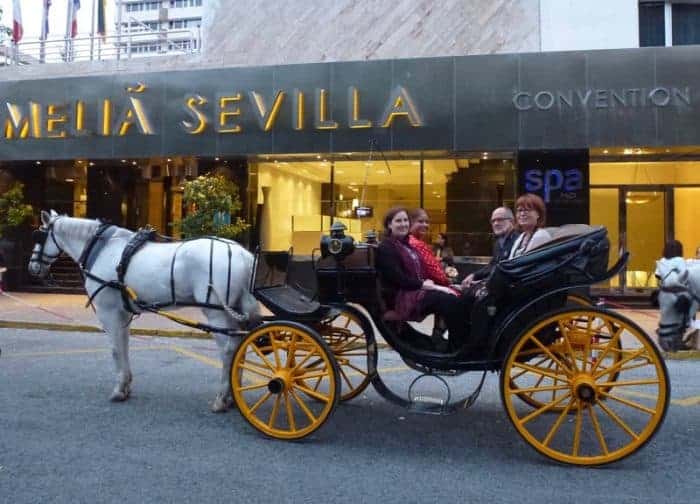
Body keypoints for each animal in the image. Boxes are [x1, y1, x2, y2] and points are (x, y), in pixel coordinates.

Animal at [28, 211, 260, 412]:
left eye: (39, 235)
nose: (32, 267)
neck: (101, 249)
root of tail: (243, 254)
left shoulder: (108, 312)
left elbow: (115, 350)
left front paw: (118, 390)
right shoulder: (123, 313)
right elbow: (124, 346)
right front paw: (126, 385)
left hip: (217, 313)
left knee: (229, 350)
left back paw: (222, 398)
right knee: (240, 345)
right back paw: (233, 394)